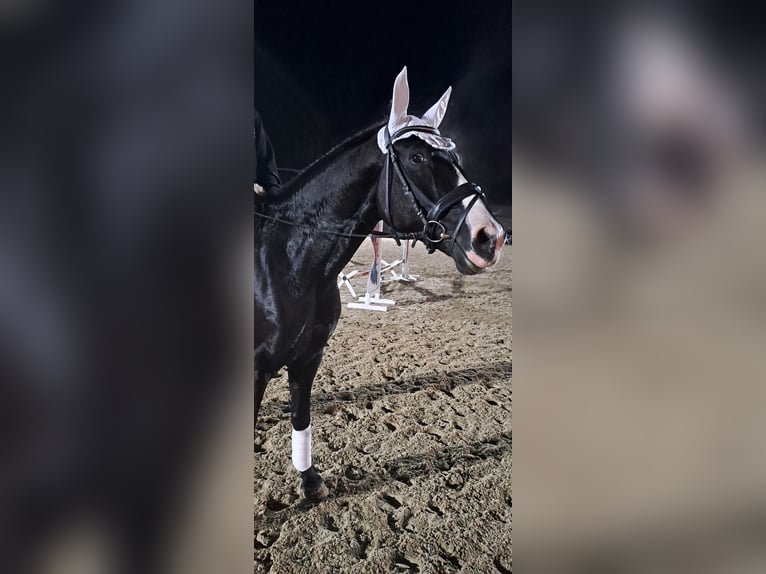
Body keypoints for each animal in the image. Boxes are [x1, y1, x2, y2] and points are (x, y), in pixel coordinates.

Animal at [254, 67, 506, 500]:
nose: (490, 238)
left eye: (455, 157)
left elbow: (301, 416)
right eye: (417, 157)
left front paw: (309, 481)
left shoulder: (308, 358)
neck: (289, 260)